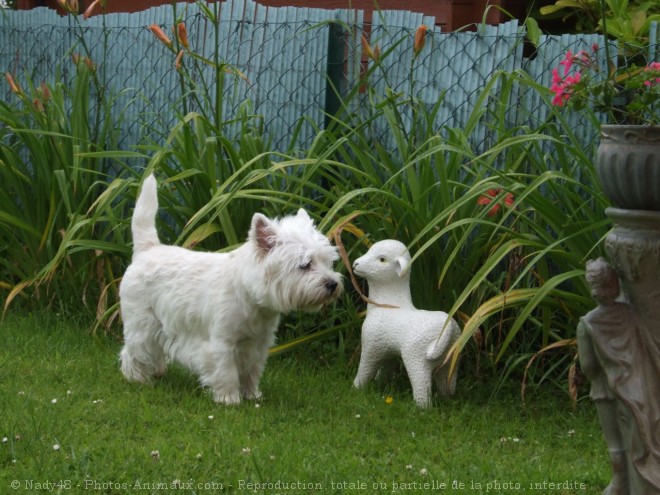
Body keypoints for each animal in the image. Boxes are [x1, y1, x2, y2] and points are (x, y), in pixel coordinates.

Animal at [118, 174, 342, 404]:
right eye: (305, 265)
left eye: (328, 261)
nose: (333, 284)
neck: (252, 299)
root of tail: (147, 250)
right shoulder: (222, 342)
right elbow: (226, 372)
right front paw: (229, 399)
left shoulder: (258, 344)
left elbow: (252, 371)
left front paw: (252, 395)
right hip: (142, 322)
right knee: (133, 350)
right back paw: (137, 379)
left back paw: (157, 372)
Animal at [356, 239, 458, 406]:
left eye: (382, 259)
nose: (356, 263)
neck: (391, 303)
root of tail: (448, 328)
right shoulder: (386, 349)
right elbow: (385, 369)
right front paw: (379, 383)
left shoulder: (372, 345)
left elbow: (365, 369)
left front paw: (356, 387)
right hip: (452, 360)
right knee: (447, 382)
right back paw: (447, 399)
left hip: (417, 358)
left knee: (421, 386)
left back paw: (421, 407)